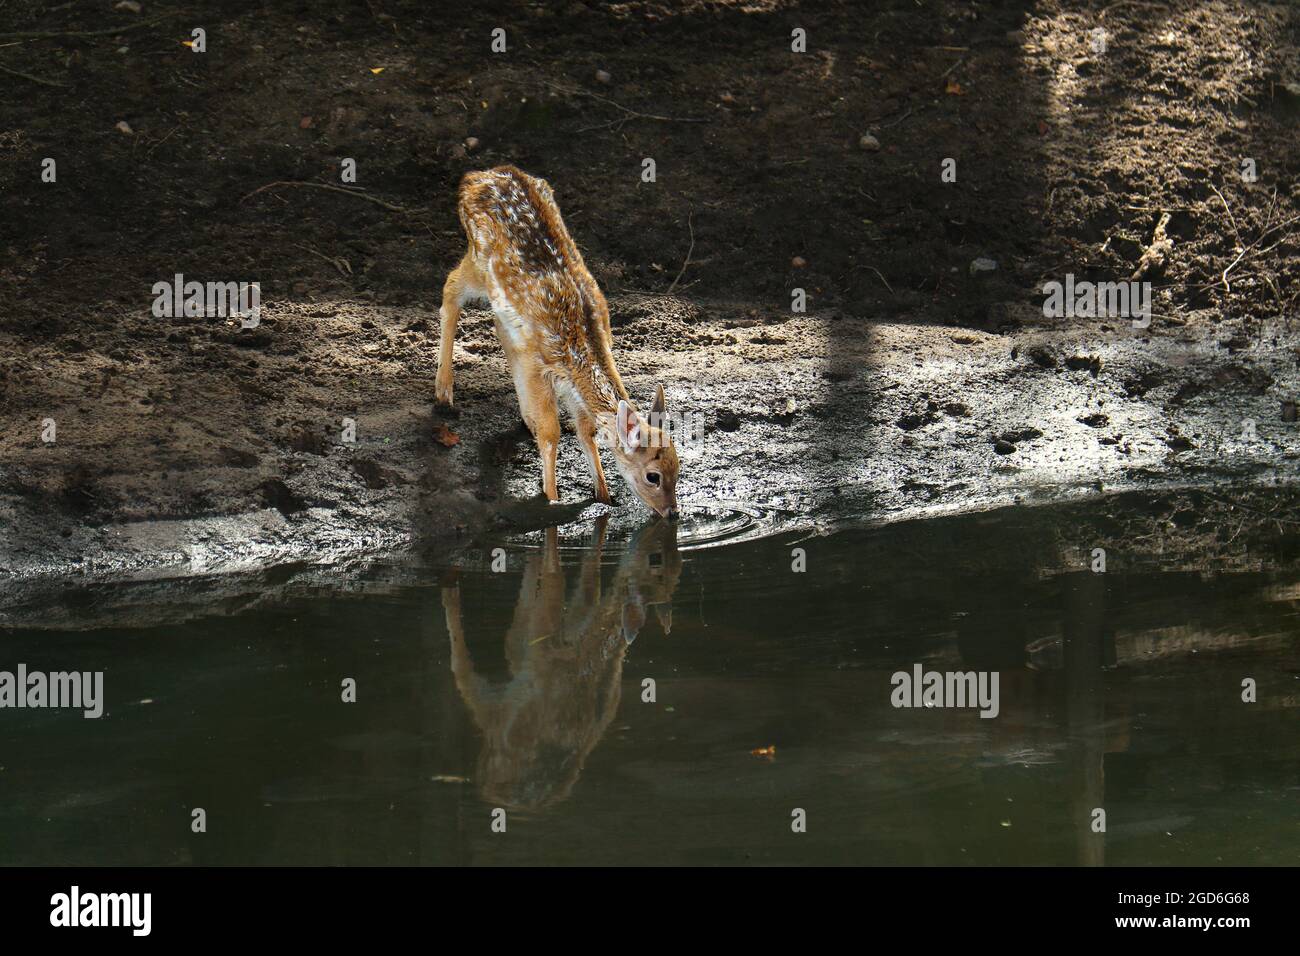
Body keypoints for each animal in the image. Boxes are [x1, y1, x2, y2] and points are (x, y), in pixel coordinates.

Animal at [436, 167, 681, 520]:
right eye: (653, 476)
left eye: (679, 468)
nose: (673, 512)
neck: (579, 349)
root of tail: (475, 176)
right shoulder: (538, 365)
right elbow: (553, 433)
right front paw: (551, 499)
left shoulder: (563, 381)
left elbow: (586, 430)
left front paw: (604, 497)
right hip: (478, 257)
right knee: (451, 288)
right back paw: (444, 392)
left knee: (496, 326)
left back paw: (524, 419)